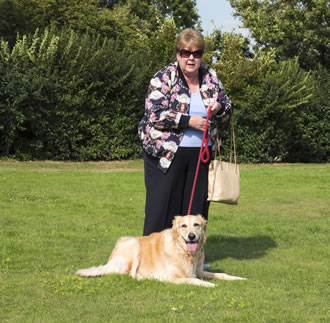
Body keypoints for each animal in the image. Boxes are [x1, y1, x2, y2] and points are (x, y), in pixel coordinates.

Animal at [75, 215, 245, 288]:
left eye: (197, 225)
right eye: (184, 226)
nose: (191, 236)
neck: (184, 252)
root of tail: (111, 259)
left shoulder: (199, 271)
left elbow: (221, 274)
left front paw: (238, 278)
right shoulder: (173, 277)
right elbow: (194, 280)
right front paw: (209, 284)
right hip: (134, 244)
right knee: (131, 274)